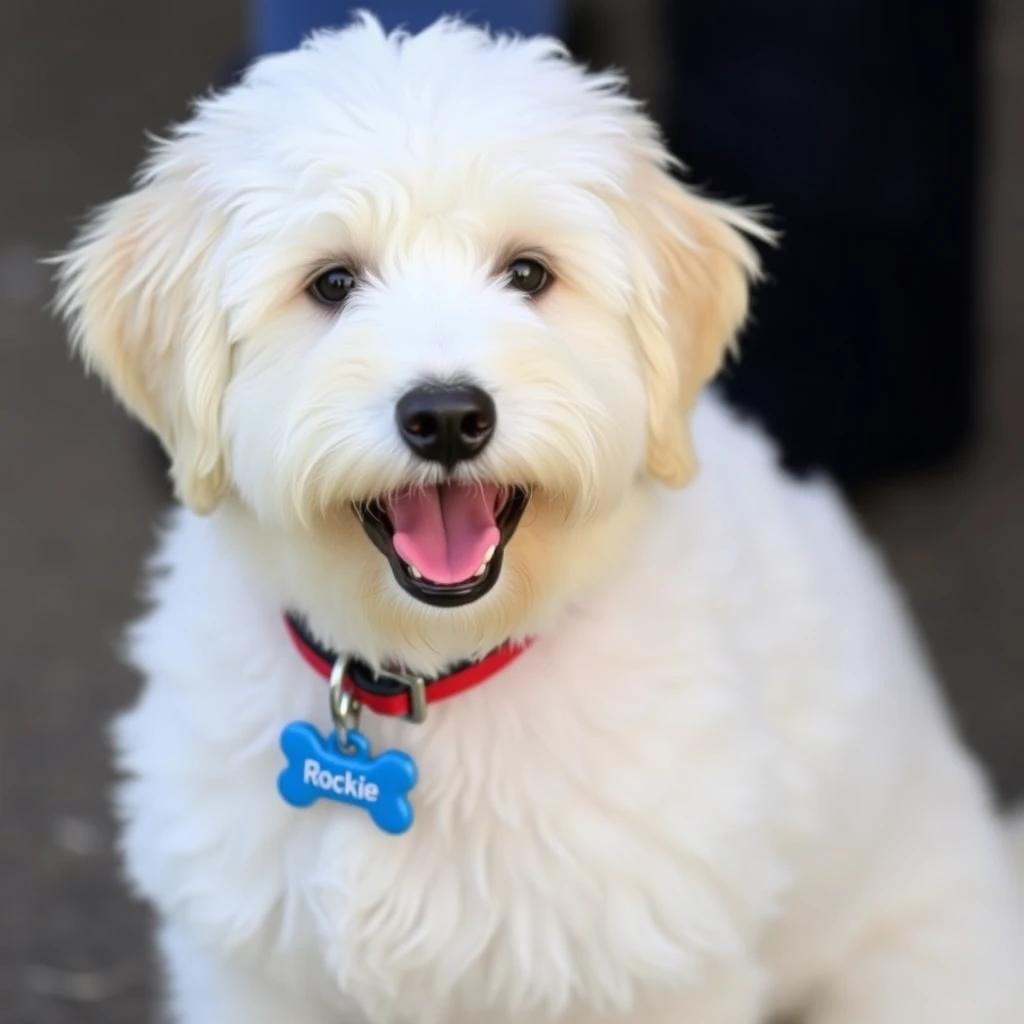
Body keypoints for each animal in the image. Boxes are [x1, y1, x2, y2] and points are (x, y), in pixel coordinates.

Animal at [58, 16, 1024, 1024]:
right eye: (331, 284)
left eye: (528, 273)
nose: (447, 416)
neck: (428, 676)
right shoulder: (254, 971)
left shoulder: (656, 968)